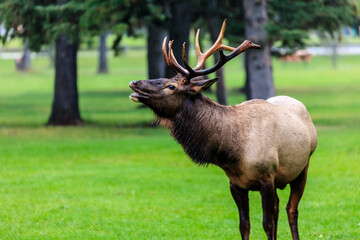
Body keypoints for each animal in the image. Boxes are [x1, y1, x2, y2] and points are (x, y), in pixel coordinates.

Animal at [129, 19, 318, 239]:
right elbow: (244, 225)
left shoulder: (266, 177)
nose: (134, 82)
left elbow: (267, 224)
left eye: (171, 86)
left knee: (291, 209)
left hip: (303, 166)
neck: (232, 153)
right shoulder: (235, 183)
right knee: (278, 209)